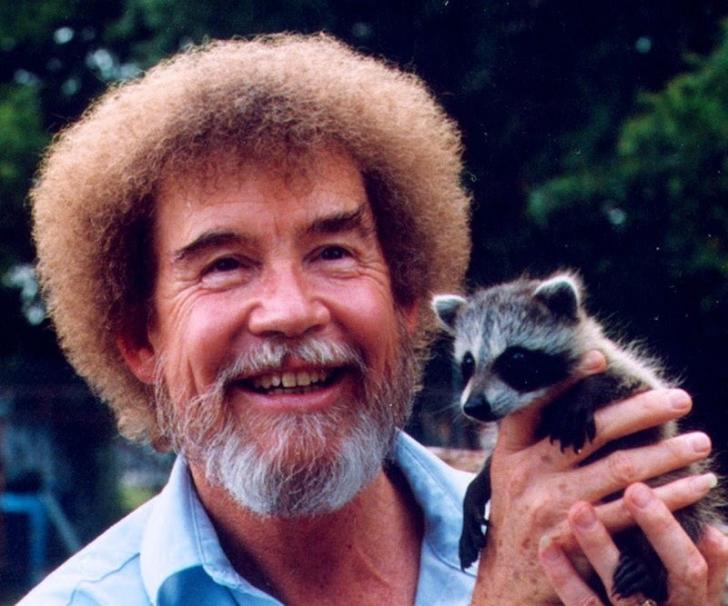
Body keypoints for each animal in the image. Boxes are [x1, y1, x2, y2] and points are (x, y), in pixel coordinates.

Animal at [430, 274, 720, 604]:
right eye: (468, 362)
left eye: (515, 358)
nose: (474, 406)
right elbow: (493, 465)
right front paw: (476, 490)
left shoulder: (626, 372)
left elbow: (633, 383)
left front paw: (584, 394)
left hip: (675, 487)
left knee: (680, 511)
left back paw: (649, 562)